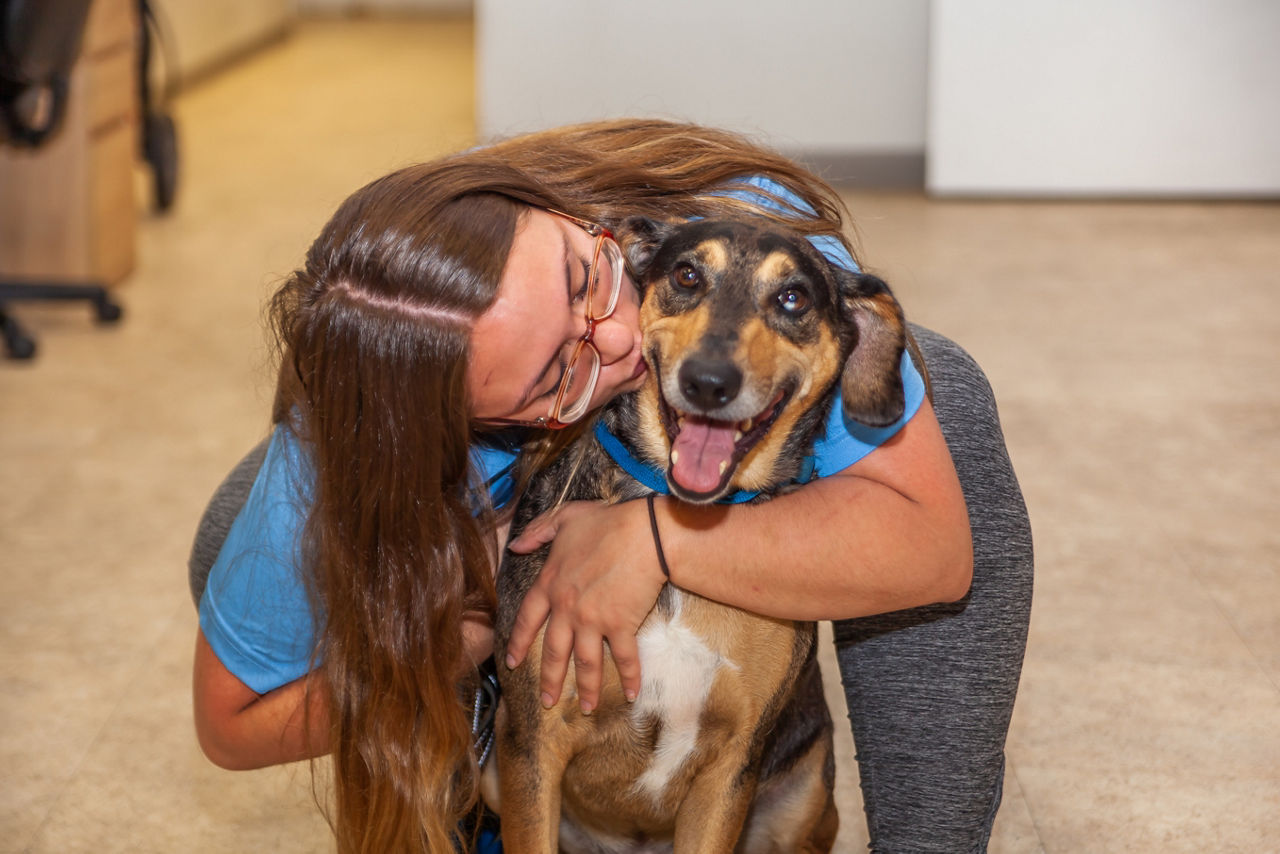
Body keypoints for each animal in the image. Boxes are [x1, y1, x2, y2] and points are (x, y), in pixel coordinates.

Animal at [483, 217, 906, 850]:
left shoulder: (732, 765)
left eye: (793, 298)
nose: (708, 383)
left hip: (805, 795)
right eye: (687, 275)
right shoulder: (533, 742)